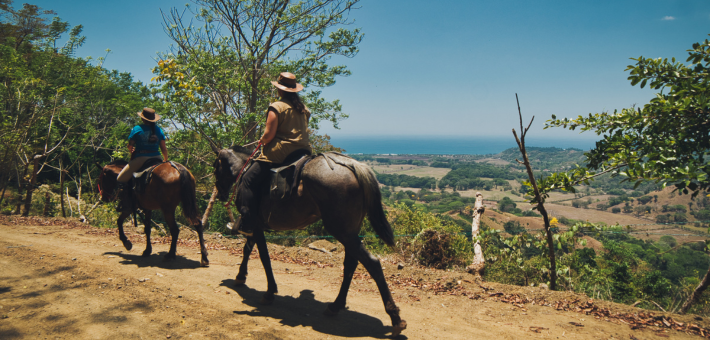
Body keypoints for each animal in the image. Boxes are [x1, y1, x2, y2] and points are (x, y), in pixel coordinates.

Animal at [213, 147, 406, 338]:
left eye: (215, 168)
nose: (220, 194)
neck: (242, 169)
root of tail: (353, 166)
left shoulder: (254, 225)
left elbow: (264, 258)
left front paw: (269, 292)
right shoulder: (255, 226)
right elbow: (247, 250)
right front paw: (240, 276)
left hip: (342, 231)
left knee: (372, 264)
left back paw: (395, 318)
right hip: (350, 232)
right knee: (351, 265)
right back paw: (335, 306)